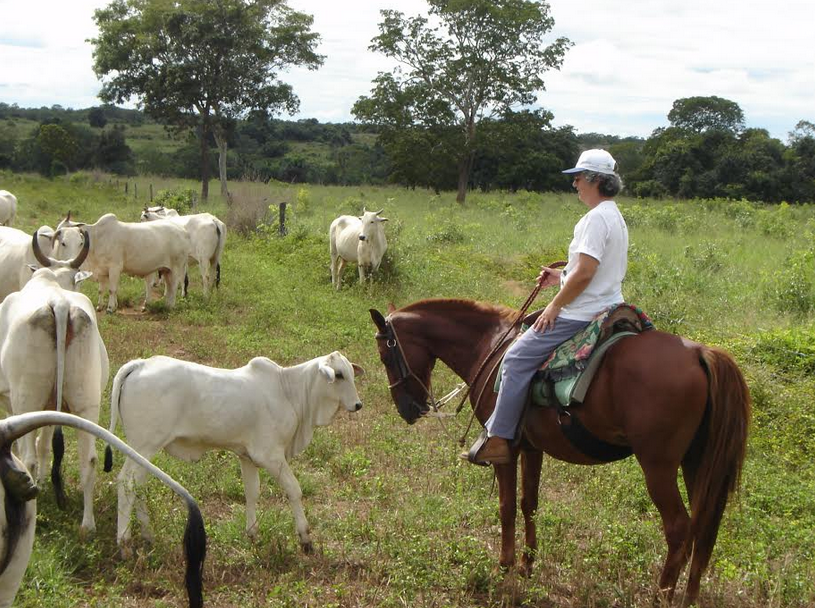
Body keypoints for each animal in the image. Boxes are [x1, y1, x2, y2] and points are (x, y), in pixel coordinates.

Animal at [0, 264, 107, 536]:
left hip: (27, 399)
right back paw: (88, 524)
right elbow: (45, 445)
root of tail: (59, 305)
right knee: (89, 460)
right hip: (87, 404)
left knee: (28, 459)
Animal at [52, 211, 191, 312]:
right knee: (168, 286)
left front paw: (110, 308)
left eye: (80, 242)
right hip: (166, 269)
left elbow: (112, 289)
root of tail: (183, 231)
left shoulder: (114, 268)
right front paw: (101, 306)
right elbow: (101, 290)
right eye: (61, 240)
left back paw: (170, 307)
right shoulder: (102, 271)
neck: (96, 238)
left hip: (176, 267)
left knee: (174, 286)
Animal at [106, 350, 366, 552]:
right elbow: (294, 490)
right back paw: (124, 543)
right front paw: (305, 538)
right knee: (126, 482)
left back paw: (147, 536)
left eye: (351, 374)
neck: (289, 391)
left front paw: (252, 533)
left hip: (143, 451)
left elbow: (252, 493)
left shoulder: (247, 456)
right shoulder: (270, 455)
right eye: (339, 375)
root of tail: (141, 363)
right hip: (144, 445)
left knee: (138, 485)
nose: (358, 405)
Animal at [372, 298, 752, 604]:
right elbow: (529, 502)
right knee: (704, 526)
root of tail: (699, 353)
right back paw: (689, 597)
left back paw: (661, 596)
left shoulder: (504, 449)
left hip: (658, 466)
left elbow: (506, 506)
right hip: (697, 463)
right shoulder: (531, 447)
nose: (407, 410)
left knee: (678, 527)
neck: (490, 345)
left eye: (386, 355)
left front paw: (504, 565)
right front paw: (527, 563)